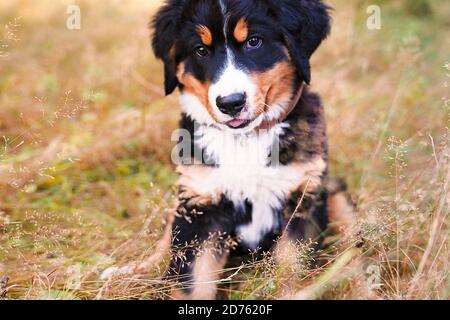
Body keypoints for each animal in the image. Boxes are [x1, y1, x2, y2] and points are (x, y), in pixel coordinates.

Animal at [137, 0, 356, 300]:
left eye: (254, 41)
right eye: (201, 50)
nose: (230, 103)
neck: (246, 139)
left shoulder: (302, 200)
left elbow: (293, 275)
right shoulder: (201, 207)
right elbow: (191, 283)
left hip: (334, 195)